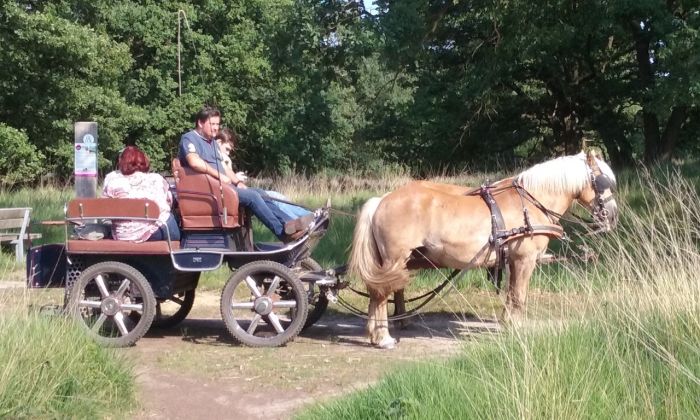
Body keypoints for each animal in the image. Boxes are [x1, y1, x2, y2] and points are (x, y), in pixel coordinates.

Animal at [350, 151, 616, 348]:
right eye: (603, 181)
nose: (613, 215)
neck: (530, 202)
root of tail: (382, 200)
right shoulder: (525, 259)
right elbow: (519, 295)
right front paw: (517, 329)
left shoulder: (513, 260)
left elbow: (511, 294)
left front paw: (508, 323)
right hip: (395, 259)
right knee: (381, 294)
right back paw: (383, 338)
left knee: (376, 293)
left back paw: (375, 333)